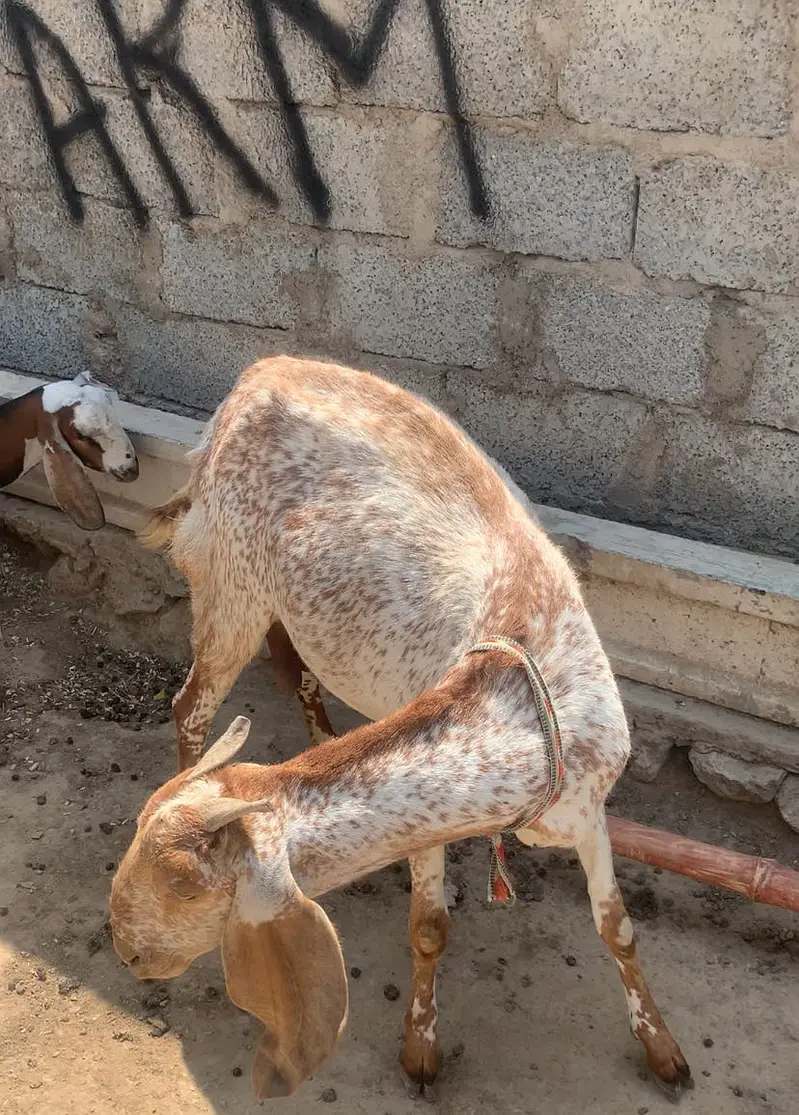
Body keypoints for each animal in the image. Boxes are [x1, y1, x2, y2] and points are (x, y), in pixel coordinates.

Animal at [125, 355, 692, 1101]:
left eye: (184, 887)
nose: (125, 947)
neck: (528, 680)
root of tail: (254, 376)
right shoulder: (433, 820)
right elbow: (428, 928)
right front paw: (420, 1051)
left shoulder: (589, 807)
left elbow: (617, 927)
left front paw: (664, 1052)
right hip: (228, 582)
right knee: (190, 705)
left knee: (292, 670)